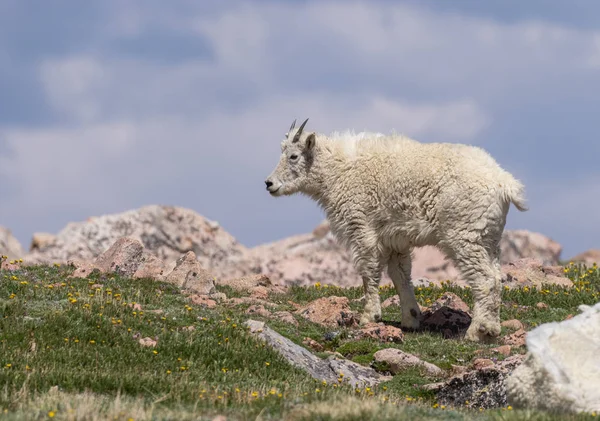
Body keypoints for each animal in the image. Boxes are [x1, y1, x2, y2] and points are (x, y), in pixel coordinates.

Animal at [264, 118, 528, 342]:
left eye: (293, 156)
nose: (269, 183)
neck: (337, 172)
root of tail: (505, 183)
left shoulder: (362, 227)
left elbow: (369, 271)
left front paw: (370, 316)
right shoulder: (394, 239)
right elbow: (400, 275)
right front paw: (411, 319)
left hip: (465, 234)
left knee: (485, 279)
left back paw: (475, 332)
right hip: (488, 236)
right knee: (496, 276)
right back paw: (491, 330)